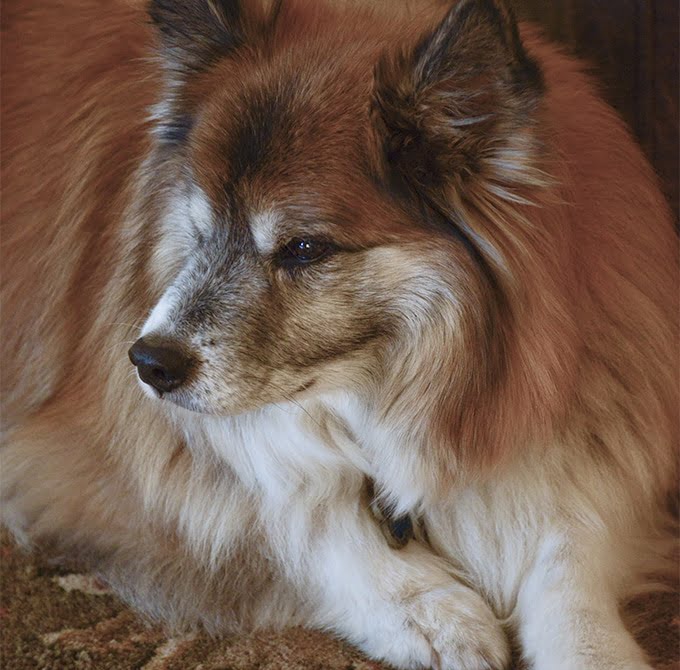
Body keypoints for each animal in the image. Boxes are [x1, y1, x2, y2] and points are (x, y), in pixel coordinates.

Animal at [2, 0, 676, 668]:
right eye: (200, 227)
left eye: (304, 248)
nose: (147, 363)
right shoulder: (80, 472)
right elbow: (295, 528)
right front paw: (429, 611)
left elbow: (569, 565)